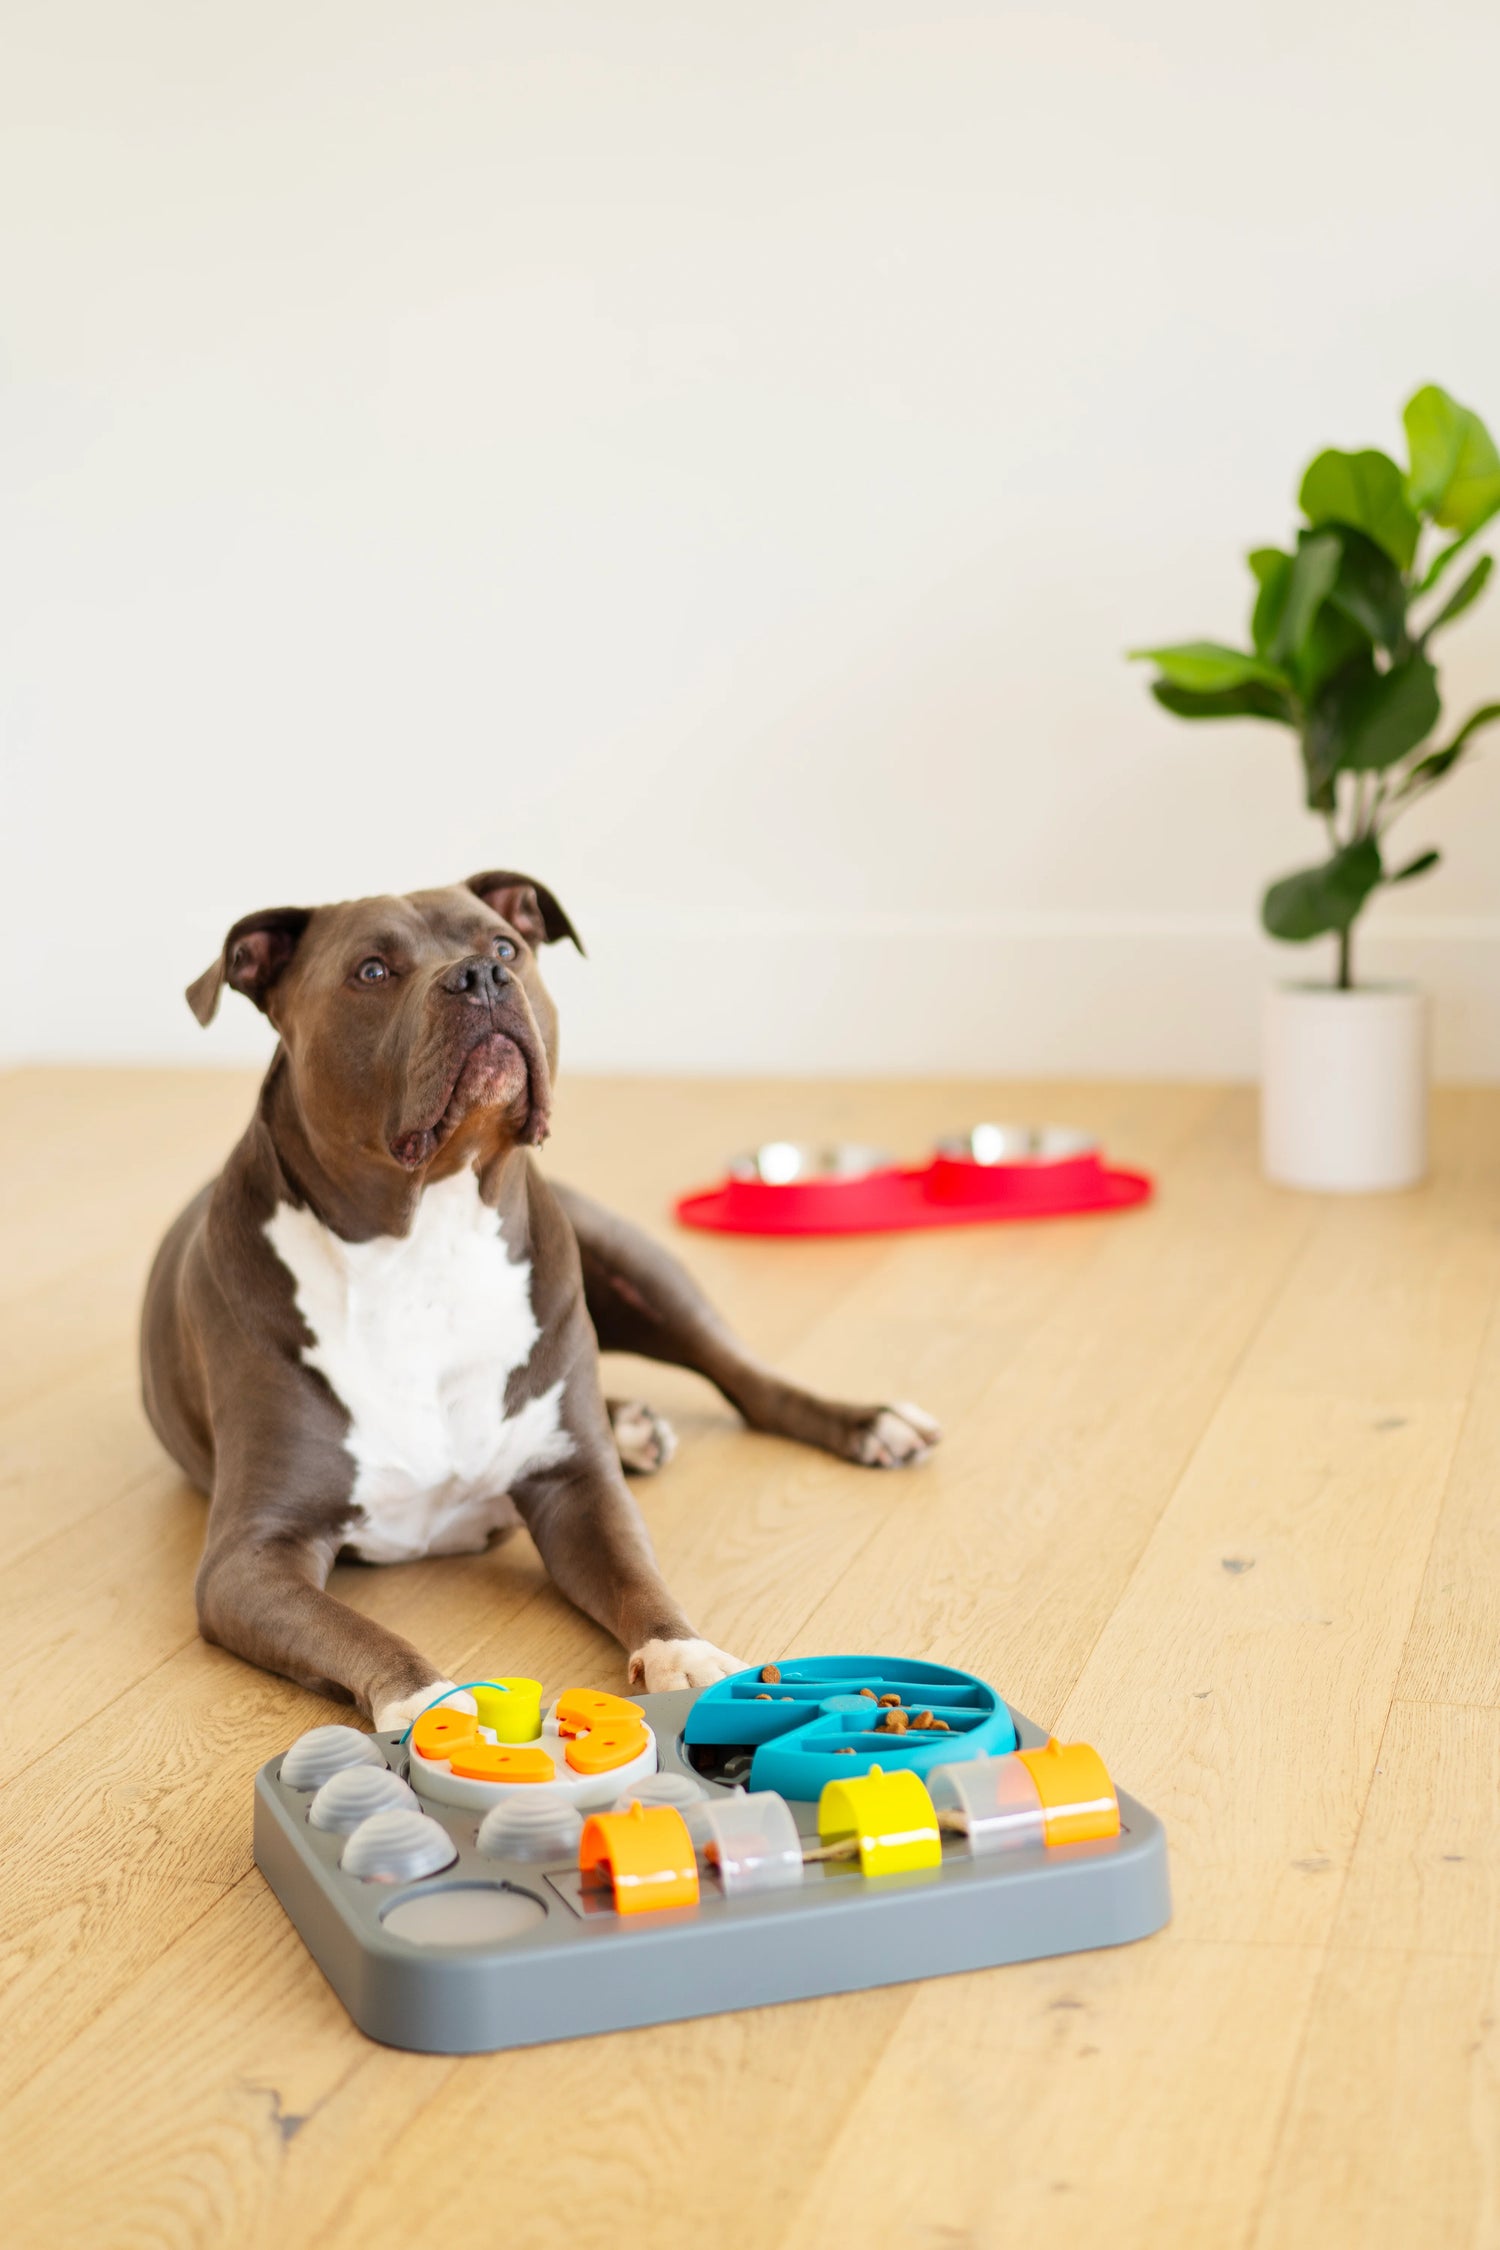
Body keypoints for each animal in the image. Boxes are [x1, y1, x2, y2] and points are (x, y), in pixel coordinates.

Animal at [140, 868, 940, 1728]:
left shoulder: (578, 1492)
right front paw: (433, 1707)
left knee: (744, 1376)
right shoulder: (251, 1555)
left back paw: (867, 1422)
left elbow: (638, 1578)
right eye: (372, 971)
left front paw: (685, 1656)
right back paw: (632, 1425)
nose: (480, 978)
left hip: (629, 1262)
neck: (426, 1241)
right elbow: (365, 1634)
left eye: (504, 947)